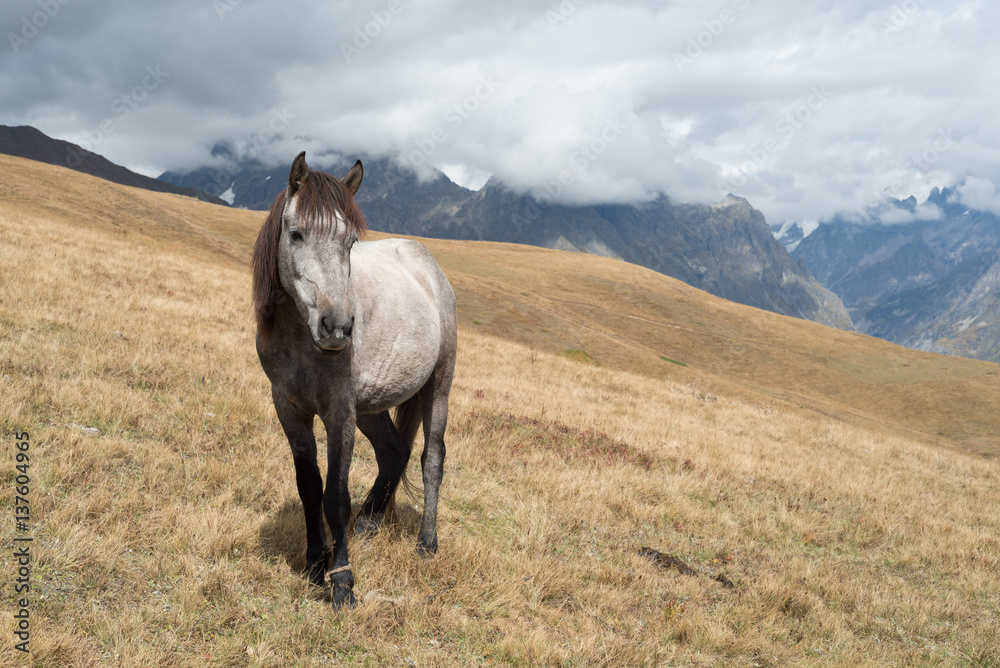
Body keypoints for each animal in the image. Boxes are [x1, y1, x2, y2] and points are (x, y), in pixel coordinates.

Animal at [251, 151, 457, 607]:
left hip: (438, 387)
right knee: (394, 452)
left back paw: (426, 543)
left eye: (350, 243)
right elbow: (309, 487)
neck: (302, 341)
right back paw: (368, 524)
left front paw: (342, 580)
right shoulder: (289, 407)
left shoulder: (339, 413)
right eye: (296, 234)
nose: (338, 327)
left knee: (430, 459)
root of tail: (427, 264)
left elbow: (336, 497)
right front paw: (315, 563)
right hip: (371, 406)